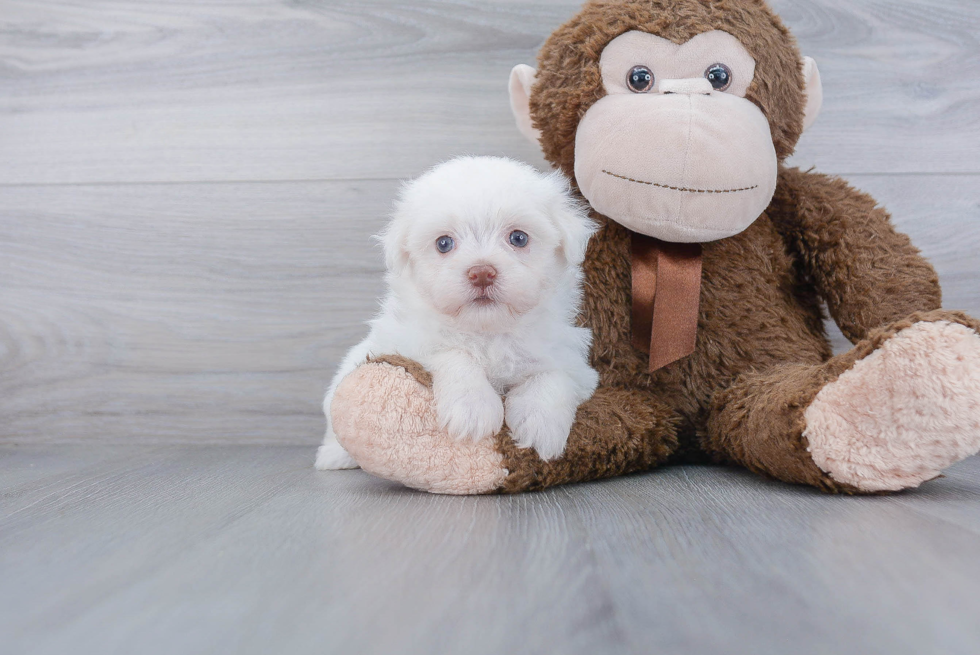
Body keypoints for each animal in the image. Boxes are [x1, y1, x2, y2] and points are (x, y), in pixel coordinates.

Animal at [318, 156, 600, 468]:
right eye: (444, 243)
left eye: (518, 238)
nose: (482, 273)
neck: (488, 332)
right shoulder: (406, 343)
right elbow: (453, 352)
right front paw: (473, 408)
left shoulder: (575, 365)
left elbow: (555, 376)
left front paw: (541, 425)